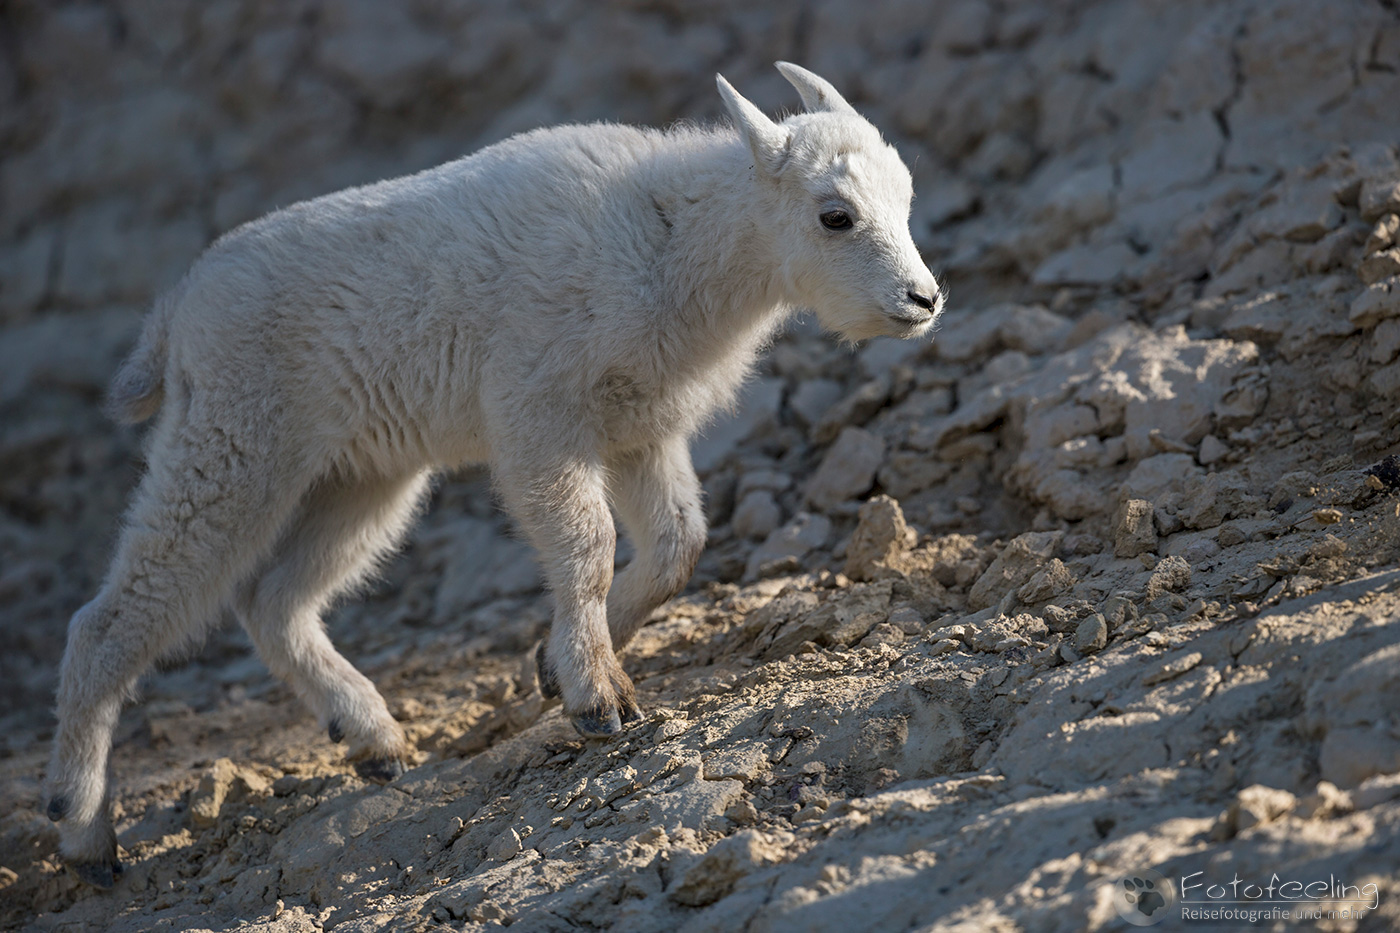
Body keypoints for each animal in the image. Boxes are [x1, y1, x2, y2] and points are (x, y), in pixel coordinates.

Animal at [45, 62, 943, 887]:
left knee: (274, 597)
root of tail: (176, 310)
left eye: (906, 197)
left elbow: (677, 542)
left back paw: (373, 740)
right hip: (233, 443)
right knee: (112, 615)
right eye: (835, 214)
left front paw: (553, 664)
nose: (923, 299)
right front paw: (597, 698)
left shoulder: (638, 428)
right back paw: (83, 829)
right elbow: (586, 543)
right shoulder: (539, 413)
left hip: (364, 475)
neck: (668, 236)